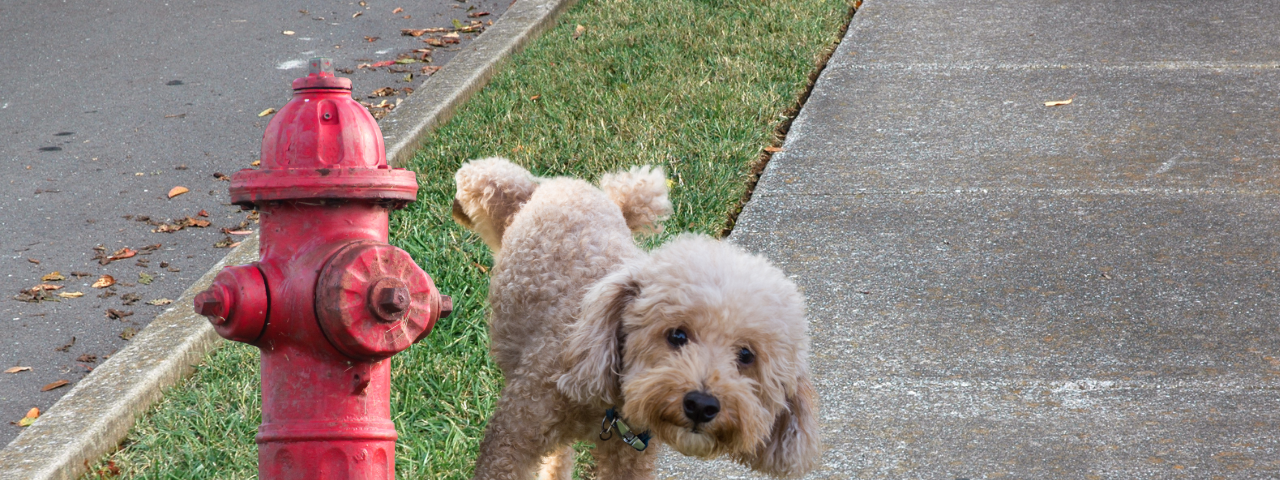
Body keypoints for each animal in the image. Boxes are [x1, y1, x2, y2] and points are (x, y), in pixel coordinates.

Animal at [453, 158, 819, 480]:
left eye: (746, 356)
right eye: (677, 335)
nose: (701, 405)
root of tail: (555, 185)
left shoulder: (629, 456)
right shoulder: (514, 434)